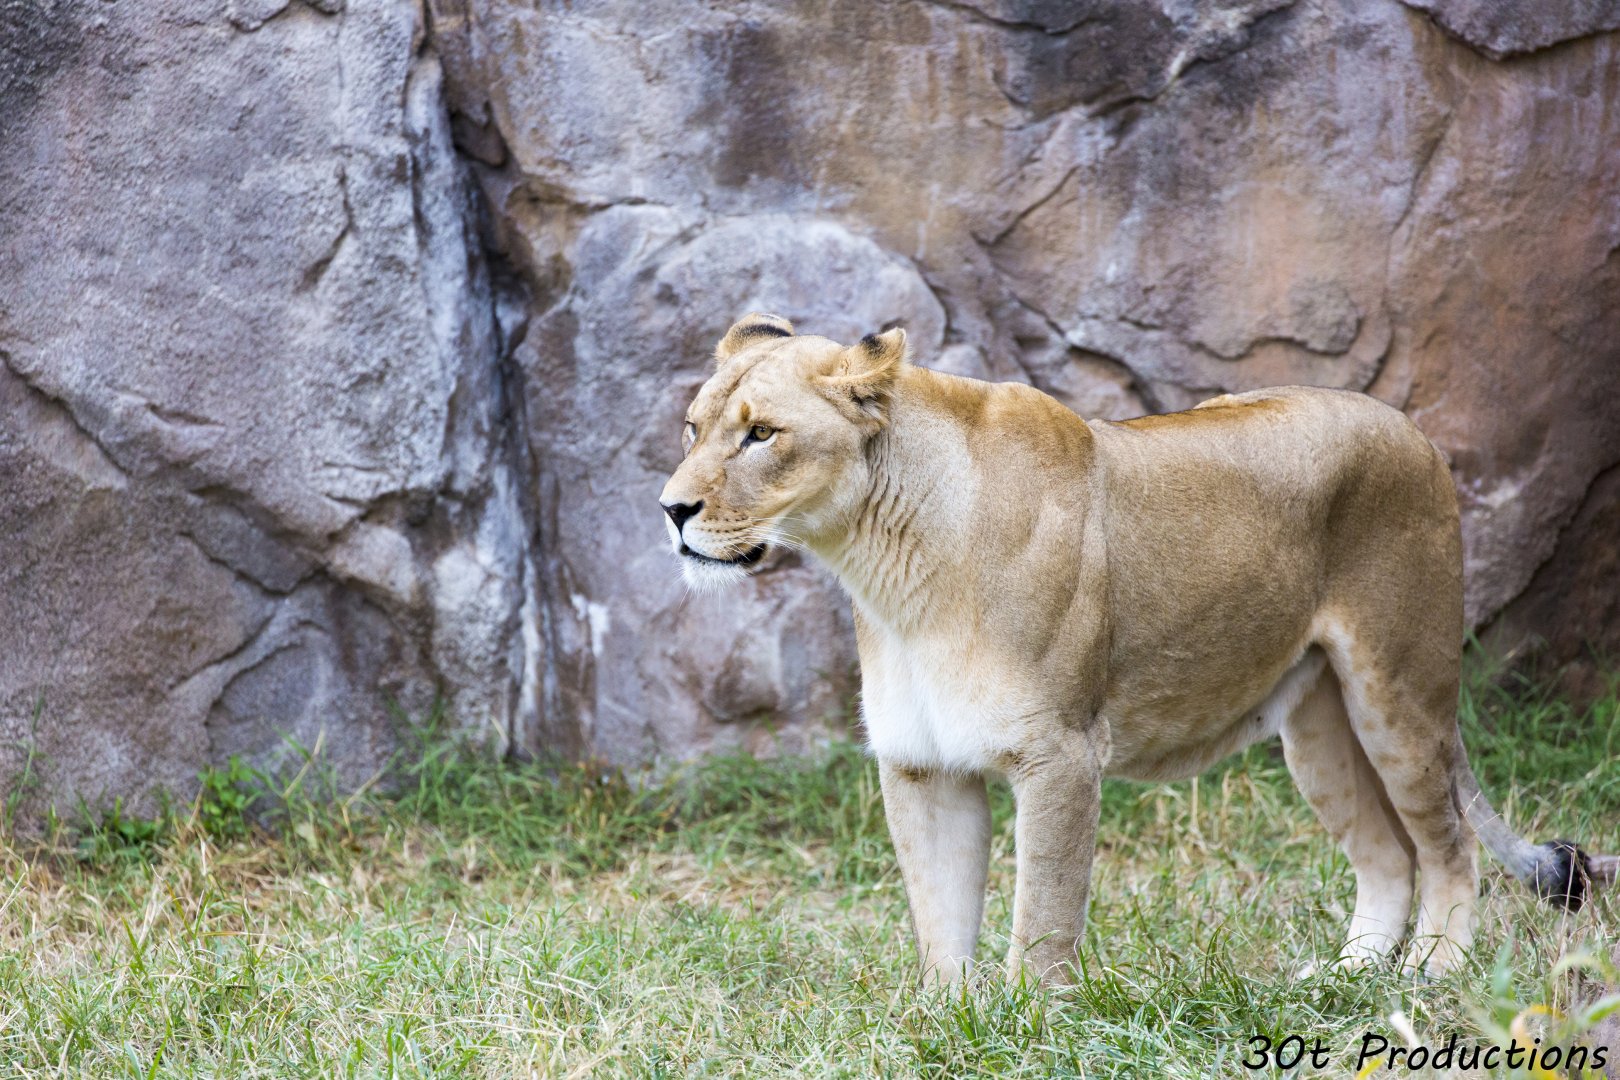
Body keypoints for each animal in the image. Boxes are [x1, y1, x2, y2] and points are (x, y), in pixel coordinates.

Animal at [659, 313, 1614, 986]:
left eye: (760, 434)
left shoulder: (1059, 753)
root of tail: (1411, 429)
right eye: (693, 429)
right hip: (1317, 726)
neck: (886, 566)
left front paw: (1030, 1027)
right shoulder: (922, 762)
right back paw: (1342, 980)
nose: (671, 510)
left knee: (1446, 846)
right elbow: (940, 921)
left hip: (1399, 691)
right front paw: (946, 1022)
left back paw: (1430, 975)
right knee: (1386, 855)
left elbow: (1042, 916)